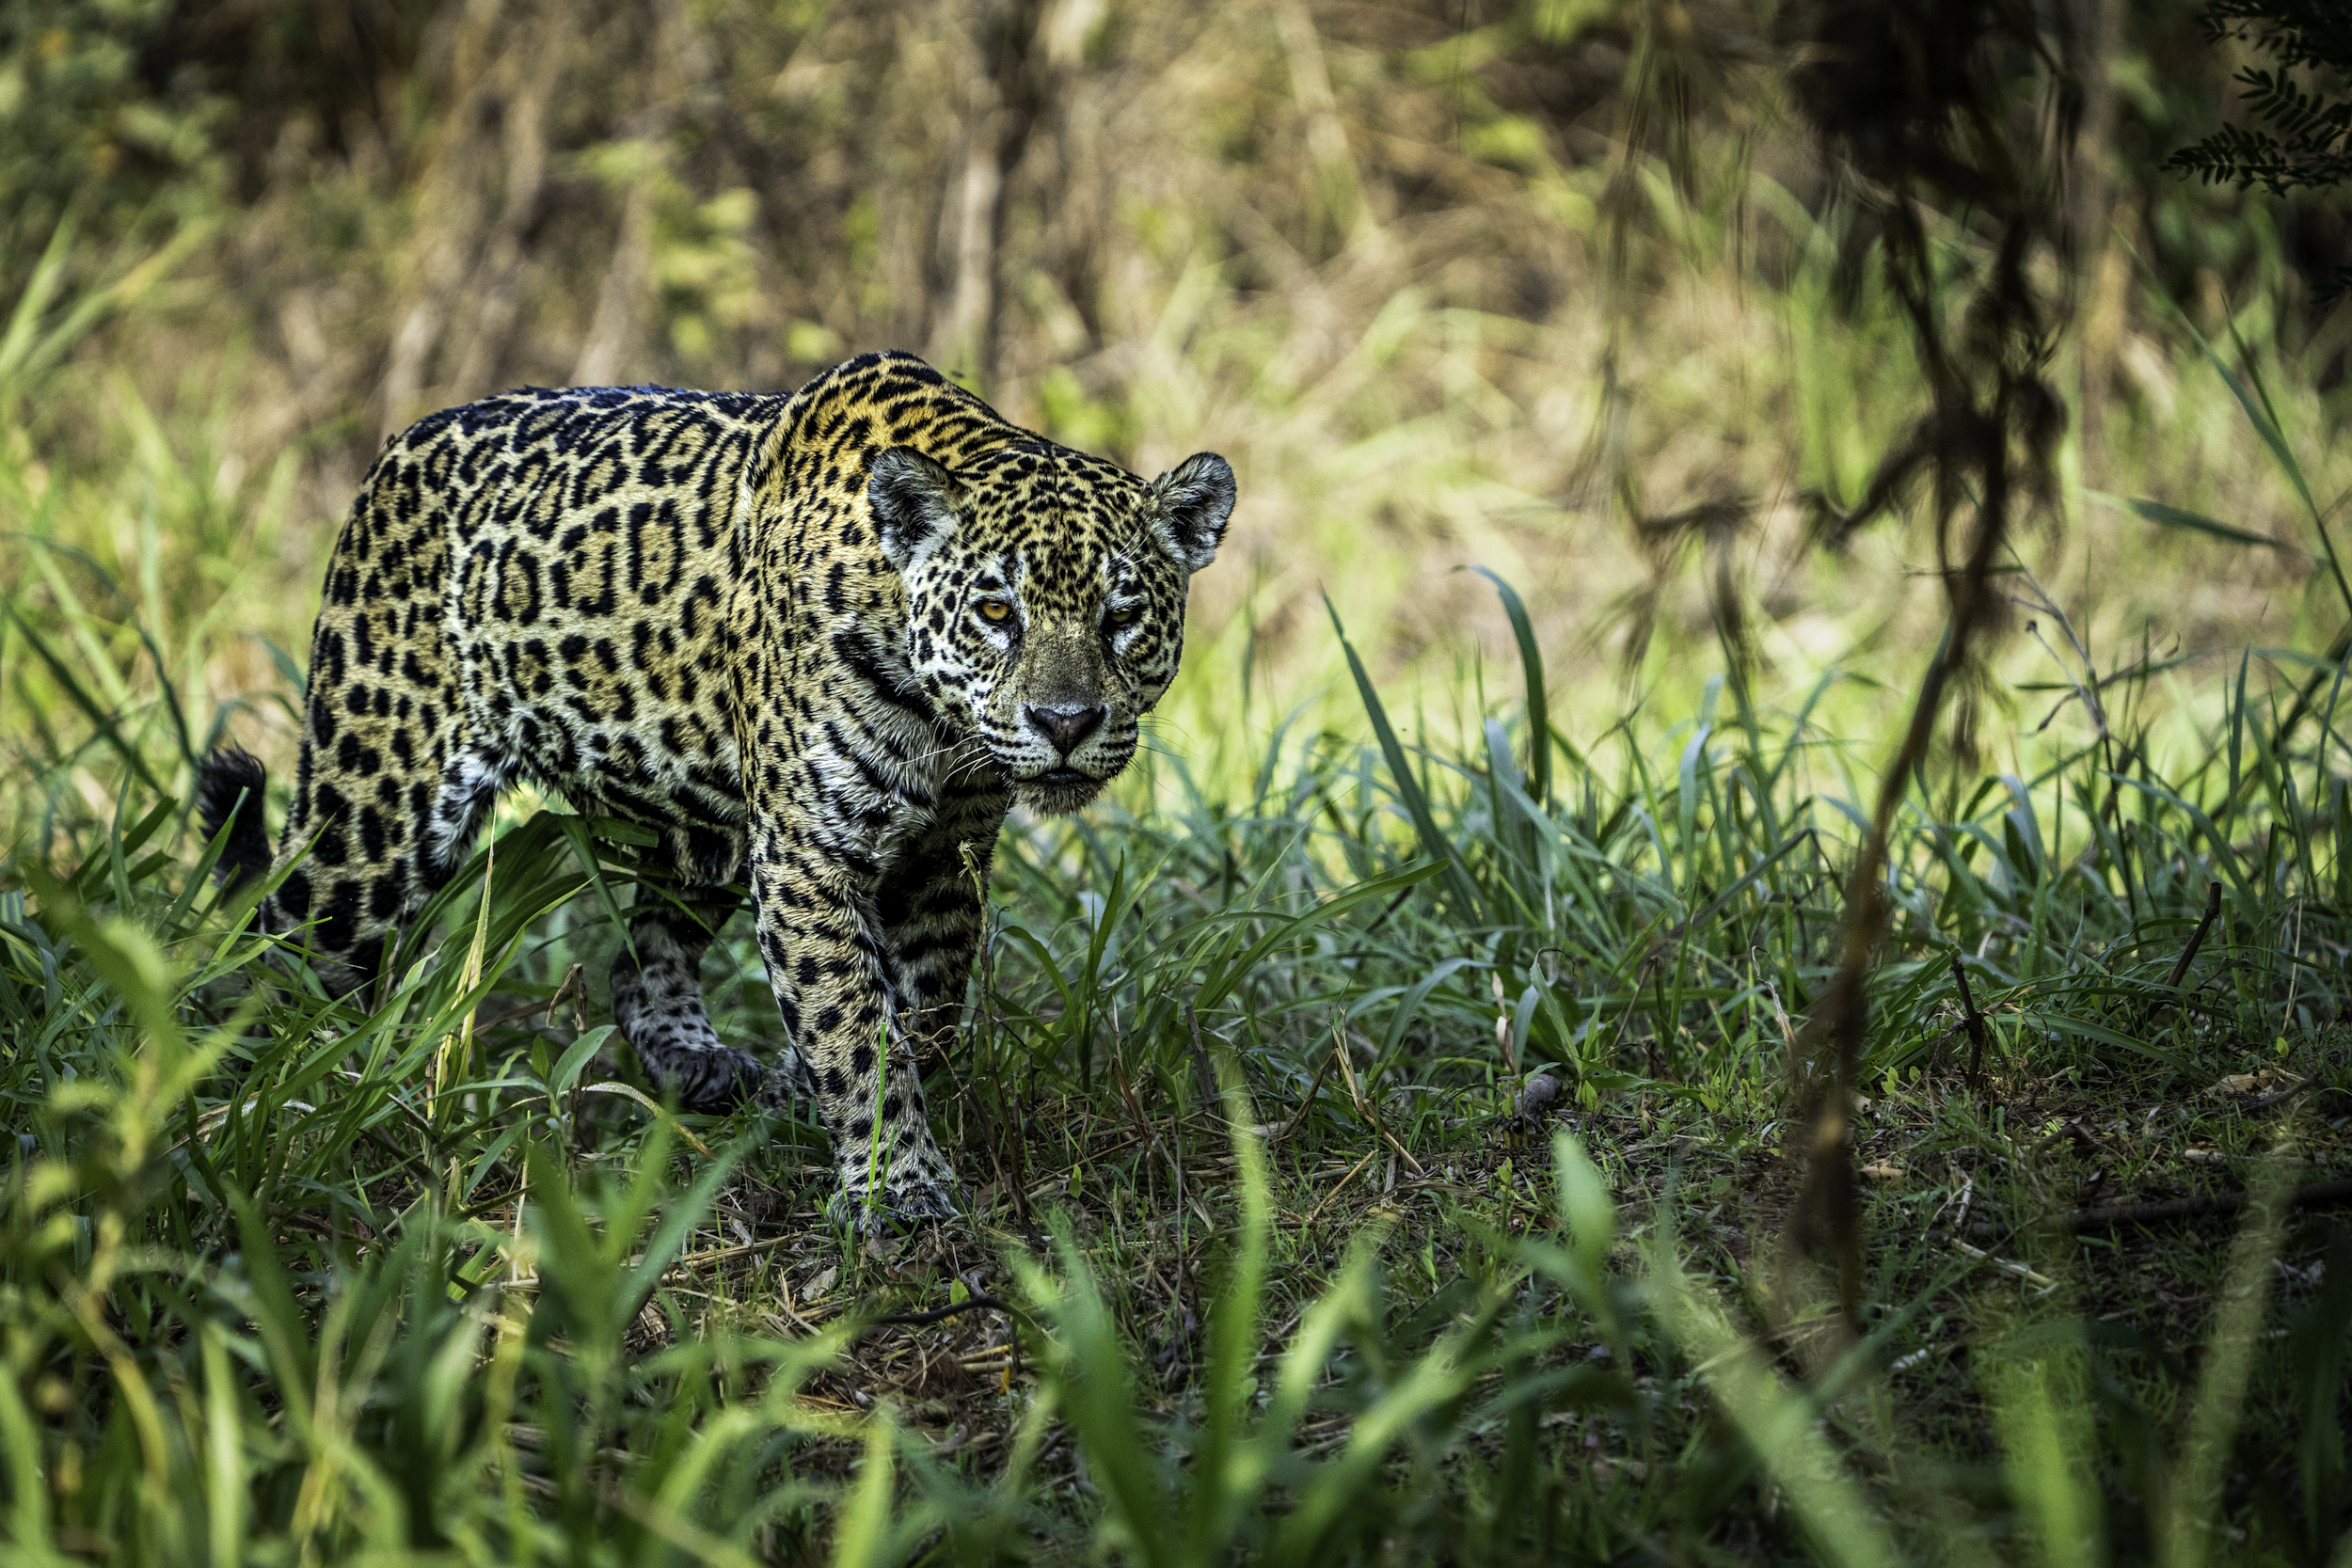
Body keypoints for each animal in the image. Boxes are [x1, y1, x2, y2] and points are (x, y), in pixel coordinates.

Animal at [195, 349, 1235, 1222]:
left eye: (1121, 617)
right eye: (995, 611)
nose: (1066, 723)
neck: (940, 722)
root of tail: (394, 450)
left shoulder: (945, 856)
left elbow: (925, 1010)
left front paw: (835, 1109)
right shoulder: (811, 853)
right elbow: (854, 1022)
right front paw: (895, 1186)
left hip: (704, 833)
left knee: (636, 964)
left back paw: (711, 1071)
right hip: (374, 818)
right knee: (271, 951)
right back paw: (248, 1110)